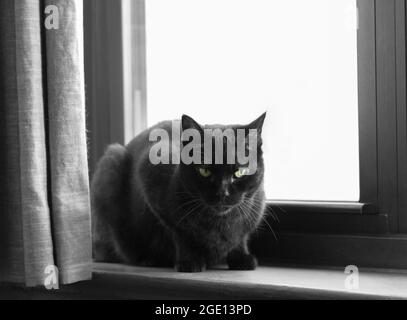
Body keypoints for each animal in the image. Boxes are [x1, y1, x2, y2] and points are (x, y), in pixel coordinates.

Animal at [92, 114, 268, 272]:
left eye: (239, 172)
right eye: (204, 171)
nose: (222, 193)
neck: (220, 222)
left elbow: (241, 238)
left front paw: (242, 258)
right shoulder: (150, 170)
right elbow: (181, 234)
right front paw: (190, 262)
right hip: (111, 162)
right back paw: (147, 259)